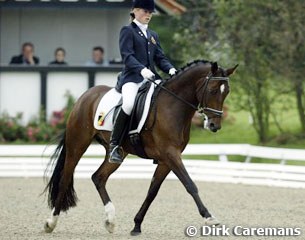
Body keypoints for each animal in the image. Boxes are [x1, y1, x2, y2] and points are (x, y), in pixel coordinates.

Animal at [43, 59, 238, 234]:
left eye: (227, 92)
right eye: (213, 90)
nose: (214, 126)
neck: (173, 105)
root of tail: (85, 96)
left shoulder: (166, 160)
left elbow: (152, 191)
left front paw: (136, 225)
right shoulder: (171, 154)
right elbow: (190, 184)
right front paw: (209, 217)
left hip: (117, 153)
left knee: (98, 177)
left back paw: (110, 220)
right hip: (77, 145)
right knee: (65, 179)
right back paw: (51, 223)